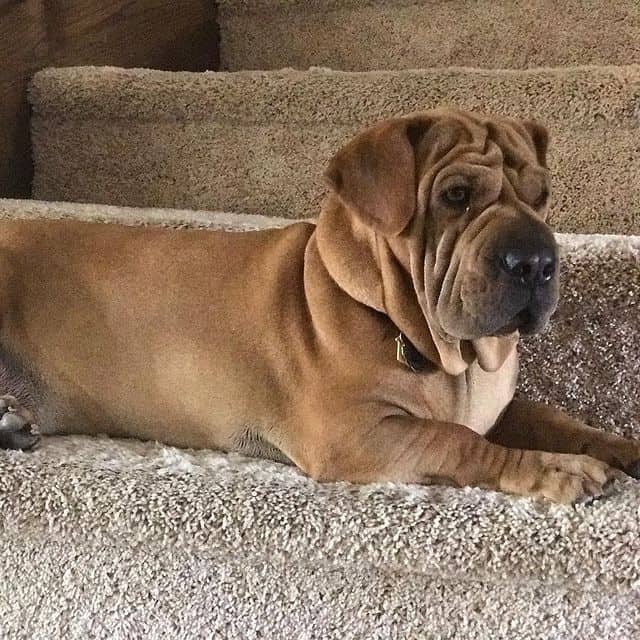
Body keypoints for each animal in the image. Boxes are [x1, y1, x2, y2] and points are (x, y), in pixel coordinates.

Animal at [0, 110, 636, 502]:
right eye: (456, 196)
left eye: (541, 196)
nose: (536, 261)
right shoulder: (356, 434)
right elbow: (458, 440)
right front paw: (553, 468)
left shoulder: (497, 407)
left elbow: (555, 420)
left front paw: (614, 446)